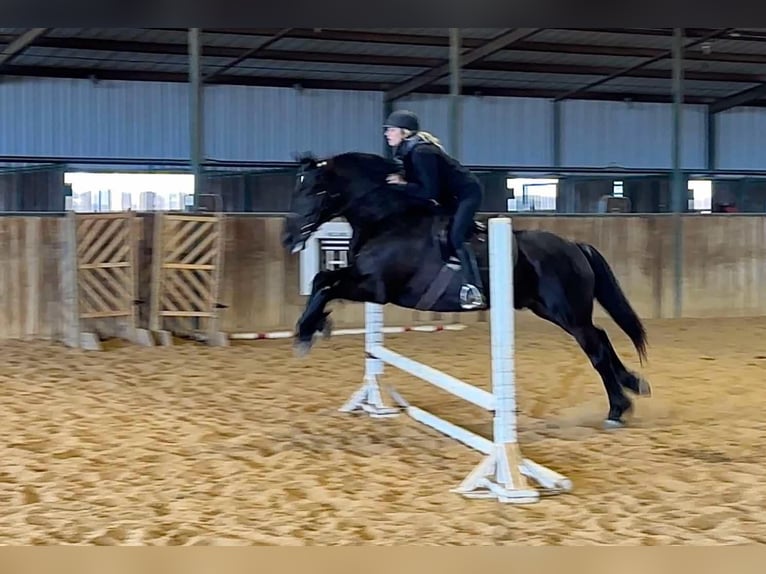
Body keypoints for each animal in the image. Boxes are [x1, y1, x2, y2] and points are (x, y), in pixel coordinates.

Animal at [284, 152, 656, 428]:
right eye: (297, 188)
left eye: (315, 190)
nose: (288, 238)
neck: (389, 218)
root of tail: (575, 247)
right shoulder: (362, 278)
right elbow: (321, 280)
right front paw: (316, 325)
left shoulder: (375, 288)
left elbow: (325, 286)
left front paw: (306, 331)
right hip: (550, 309)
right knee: (600, 340)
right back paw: (632, 386)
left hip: (567, 312)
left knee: (596, 347)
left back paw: (618, 408)